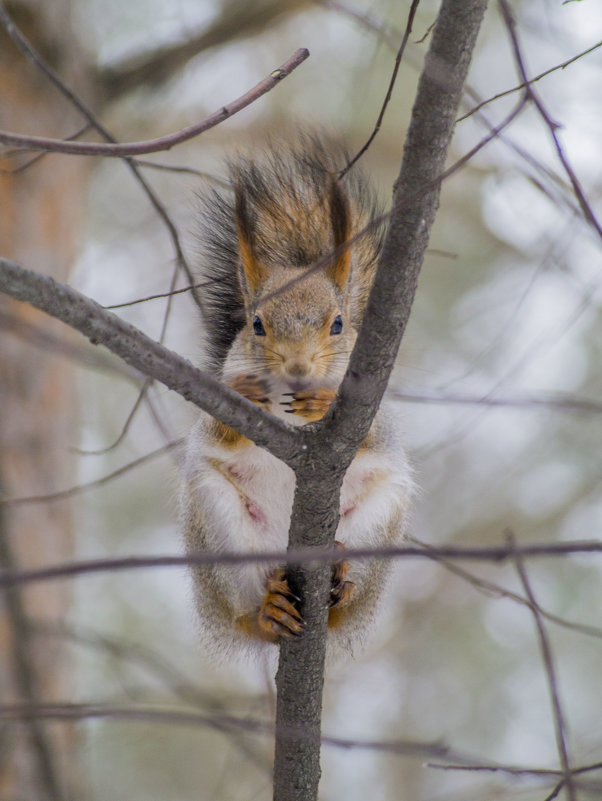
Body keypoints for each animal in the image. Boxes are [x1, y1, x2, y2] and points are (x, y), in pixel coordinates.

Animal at [178, 136, 412, 656]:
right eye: (256, 324)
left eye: (339, 324)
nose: (300, 369)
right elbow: (216, 430)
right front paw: (249, 395)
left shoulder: (374, 401)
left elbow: (375, 433)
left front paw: (322, 401)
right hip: (218, 526)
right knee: (249, 611)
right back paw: (269, 613)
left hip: (380, 522)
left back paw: (340, 582)